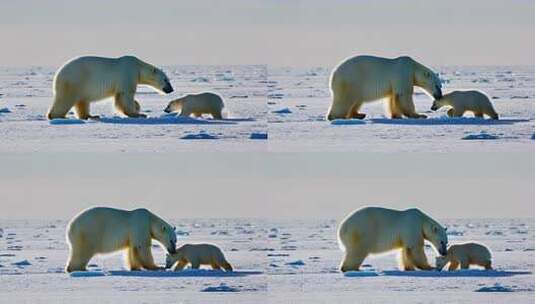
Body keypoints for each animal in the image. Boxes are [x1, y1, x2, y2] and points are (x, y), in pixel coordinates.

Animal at [46, 55, 174, 120]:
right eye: (166, 80)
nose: (171, 89)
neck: (138, 67)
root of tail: (57, 74)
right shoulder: (127, 74)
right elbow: (125, 96)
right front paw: (139, 113)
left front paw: (137, 107)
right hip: (75, 80)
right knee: (66, 99)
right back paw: (58, 116)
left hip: (81, 86)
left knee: (82, 101)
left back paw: (91, 116)